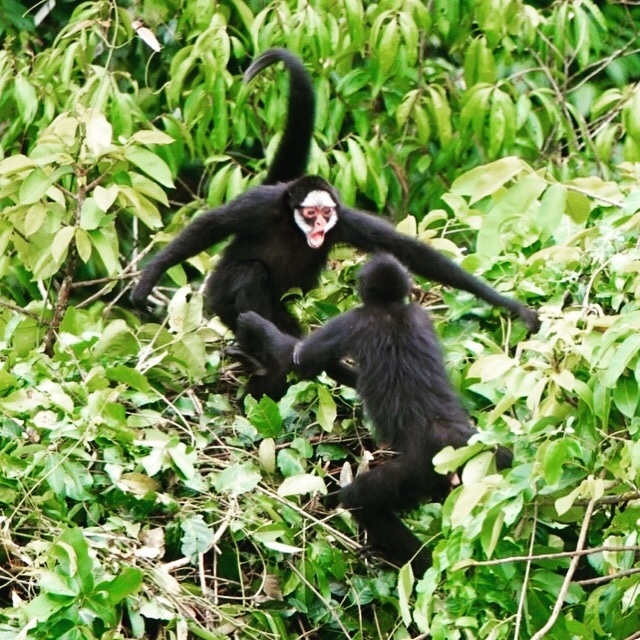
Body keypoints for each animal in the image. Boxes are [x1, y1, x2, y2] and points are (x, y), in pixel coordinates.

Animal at [131, 50, 540, 398]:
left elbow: (410, 252)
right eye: (310, 215)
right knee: (248, 274)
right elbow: (209, 226)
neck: (291, 223)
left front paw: (509, 305)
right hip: (219, 297)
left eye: (325, 215)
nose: (318, 229)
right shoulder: (258, 206)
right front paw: (148, 278)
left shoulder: (346, 221)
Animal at [235, 255, 510, 576]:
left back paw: (414, 563)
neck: (390, 309)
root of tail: (448, 436)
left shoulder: (353, 320)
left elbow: (300, 360)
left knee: (362, 500)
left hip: (418, 470)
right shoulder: (420, 315)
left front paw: (257, 331)